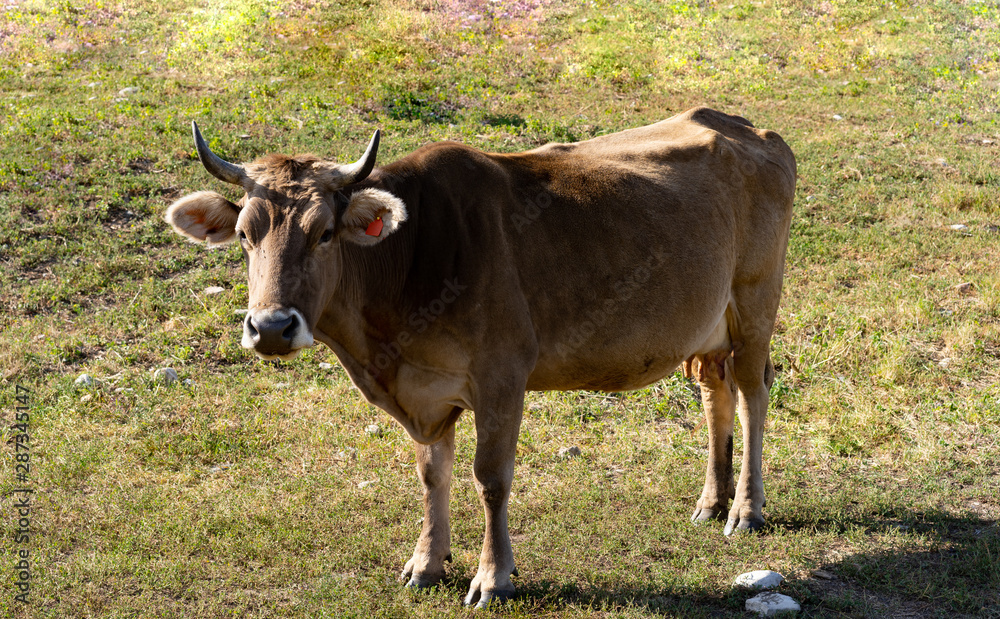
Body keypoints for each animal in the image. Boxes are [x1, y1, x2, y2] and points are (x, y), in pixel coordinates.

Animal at [168, 109, 800, 608]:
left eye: (325, 232)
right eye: (245, 233)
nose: (272, 327)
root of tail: (741, 126)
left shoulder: (502, 376)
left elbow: (491, 478)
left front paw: (493, 578)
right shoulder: (424, 393)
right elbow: (432, 474)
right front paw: (426, 563)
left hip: (755, 304)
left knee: (752, 394)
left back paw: (746, 509)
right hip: (708, 328)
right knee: (715, 392)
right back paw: (711, 502)